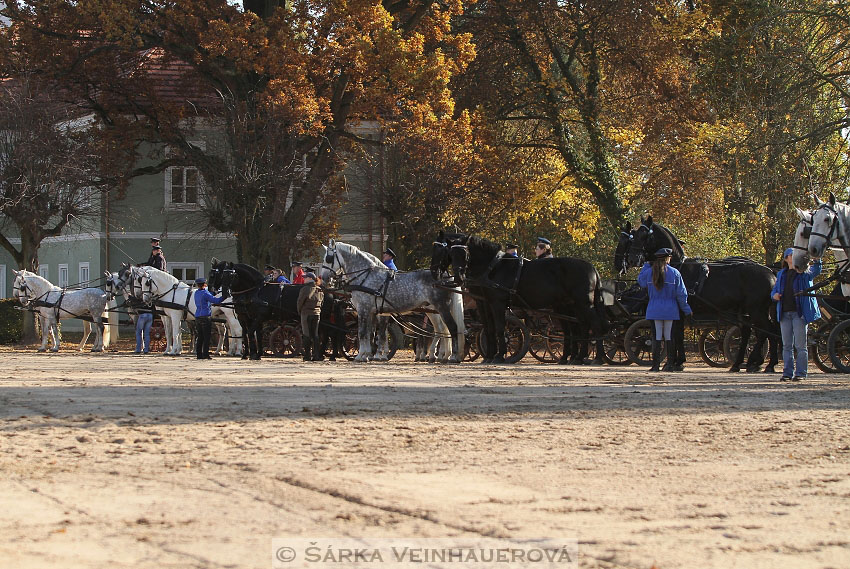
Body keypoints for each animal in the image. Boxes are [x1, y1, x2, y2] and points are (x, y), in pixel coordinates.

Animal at [320, 239, 464, 362]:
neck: (365, 276)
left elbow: (362, 333)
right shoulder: (372, 312)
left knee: (452, 327)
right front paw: (367, 355)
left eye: (328, 258)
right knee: (442, 329)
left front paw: (361, 356)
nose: (323, 278)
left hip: (442, 307)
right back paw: (443, 356)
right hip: (433, 311)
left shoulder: (363, 309)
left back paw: (452, 357)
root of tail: (446, 276)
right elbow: (371, 334)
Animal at [430, 231, 608, 364]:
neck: (492, 267)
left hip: (583, 304)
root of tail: (591, 267)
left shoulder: (497, 303)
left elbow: (500, 327)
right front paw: (489, 356)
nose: (434, 272)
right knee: (577, 327)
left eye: (464, 253)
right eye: (451, 253)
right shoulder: (484, 302)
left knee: (595, 325)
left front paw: (499, 356)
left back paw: (597, 357)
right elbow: (489, 328)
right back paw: (573, 357)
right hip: (568, 306)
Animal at [612, 214, 780, 372]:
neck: (677, 266)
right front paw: (674, 362)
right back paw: (743, 363)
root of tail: (770, 272)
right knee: (752, 332)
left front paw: (675, 362)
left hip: (755, 310)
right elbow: (675, 334)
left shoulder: (679, 310)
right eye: (633, 237)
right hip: (747, 312)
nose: (631, 260)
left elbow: (676, 335)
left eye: (644, 236)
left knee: (768, 331)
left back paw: (765, 364)